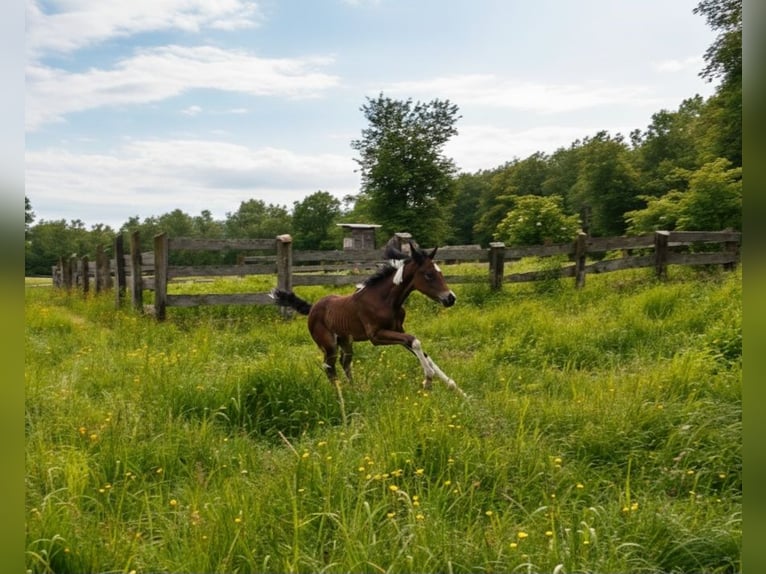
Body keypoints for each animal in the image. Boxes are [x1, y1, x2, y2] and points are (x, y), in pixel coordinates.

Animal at [271, 239, 465, 396]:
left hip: (345, 341)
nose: (450, 298)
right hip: (329, 344)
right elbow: (415, 341)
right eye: (428, 275)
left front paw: (456, 389)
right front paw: (428, 380)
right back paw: (341, 395)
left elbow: (421, 350)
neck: (385, 300)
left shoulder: (397, 330)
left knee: (344, 363)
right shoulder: (376, 336)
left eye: (440, 272)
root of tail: (312, 309)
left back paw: (354, 390)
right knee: (329, 367)